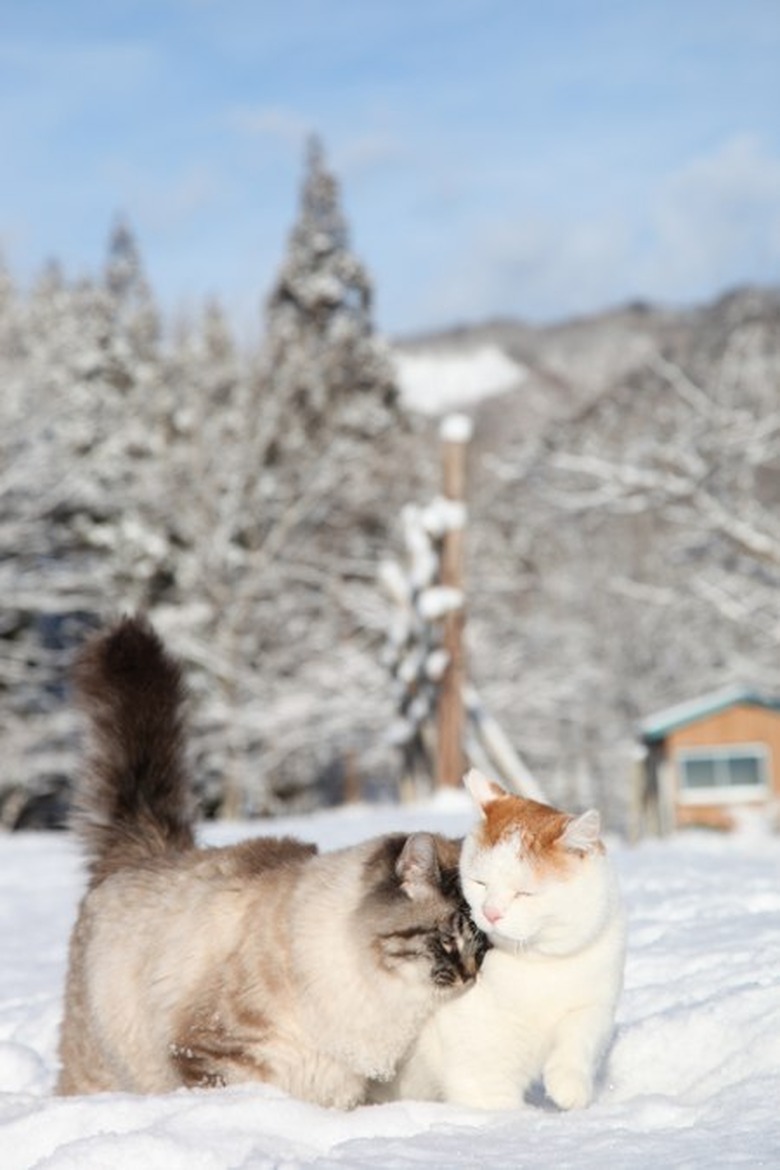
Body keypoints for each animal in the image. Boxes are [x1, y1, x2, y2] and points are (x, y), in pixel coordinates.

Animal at [390, 772, 626, 1109]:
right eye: (480, 882)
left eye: (524, 893)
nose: (491, 912)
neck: (534, 966)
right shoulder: (480, 1068)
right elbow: (495, 1101)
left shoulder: (595, 1002)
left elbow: (581, 1035)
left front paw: (569, 1085)